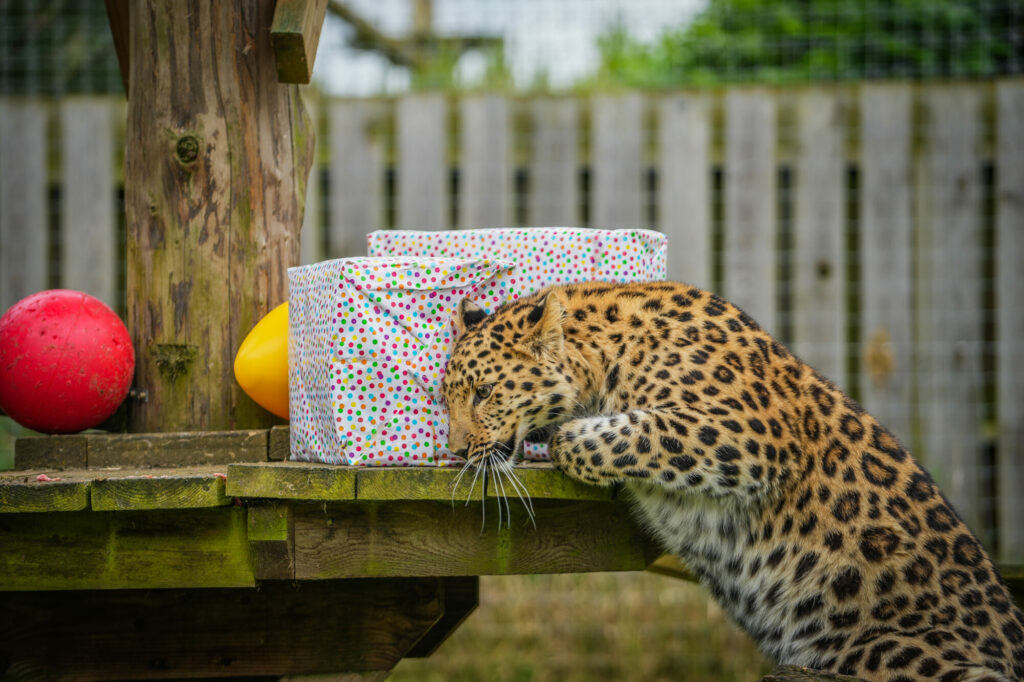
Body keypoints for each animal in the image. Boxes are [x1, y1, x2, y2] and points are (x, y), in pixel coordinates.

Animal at [441, 280, 1024, 682]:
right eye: (446, 398)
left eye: (484, 393)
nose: (454, 451)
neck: (605, 355)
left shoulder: (748, 434)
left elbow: (600, 436)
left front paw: (572, 432)